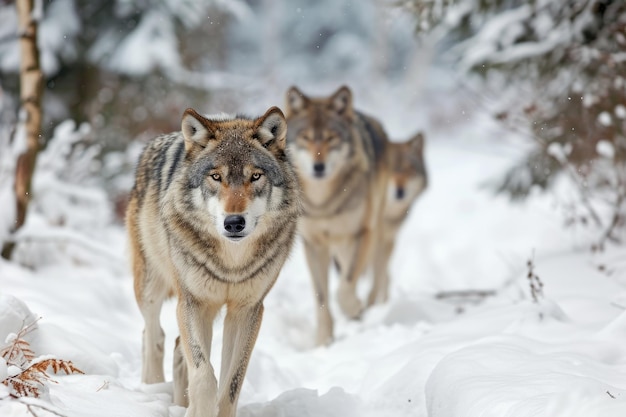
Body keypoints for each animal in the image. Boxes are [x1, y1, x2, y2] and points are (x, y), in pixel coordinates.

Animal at [125, 106, 300, 416]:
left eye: (255, 176)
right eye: (216, 177)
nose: (234, 222)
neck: (231, 263)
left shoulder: (247, 310)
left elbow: (231, 383)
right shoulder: (193, 302)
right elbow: (205, 374)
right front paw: (199, 411)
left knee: (176, 347)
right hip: (150, 288)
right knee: (153, 336)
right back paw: (152, 389)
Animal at [284, 84, 390, 344]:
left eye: (331, 138)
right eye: (306, 137)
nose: (318, 167)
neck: (323, 204)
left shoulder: (361, 234)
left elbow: (345, 286)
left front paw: (354, 308)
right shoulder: (314, 244)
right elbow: (322, 297)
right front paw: (323, 342)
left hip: (370, 234)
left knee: (377, 272)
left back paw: (370, 306)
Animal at [364, 132, 426, 306]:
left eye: (408, 169)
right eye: (390, 171)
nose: (400, 191)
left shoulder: (388, 240)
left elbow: (382, 276)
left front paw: (381, 304)